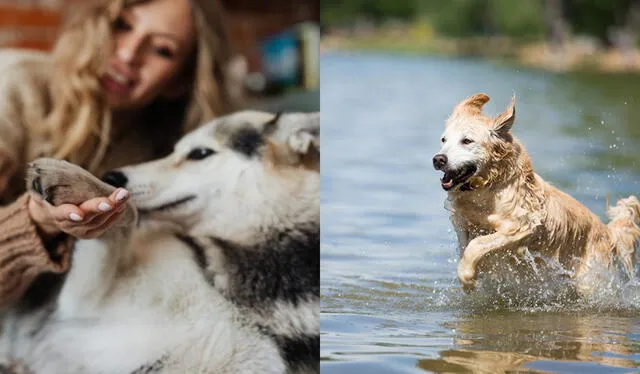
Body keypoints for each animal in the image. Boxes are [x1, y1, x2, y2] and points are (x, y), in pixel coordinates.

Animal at [0, 110, 320, 374]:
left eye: (200, 153)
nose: (111, 174)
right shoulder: (83, 307)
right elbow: (127, 210)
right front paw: (81, 182)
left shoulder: (85, 306)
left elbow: (127, 210)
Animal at [432, 93, 636, 292]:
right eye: (443, 140)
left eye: (467, 141)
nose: (438, 159)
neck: (488, 188)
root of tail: (609, 233)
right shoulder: (462, 222)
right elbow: (466, 245)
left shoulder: (522, 225)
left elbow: (476, 245)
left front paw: (468, 279)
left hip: (590, 280)